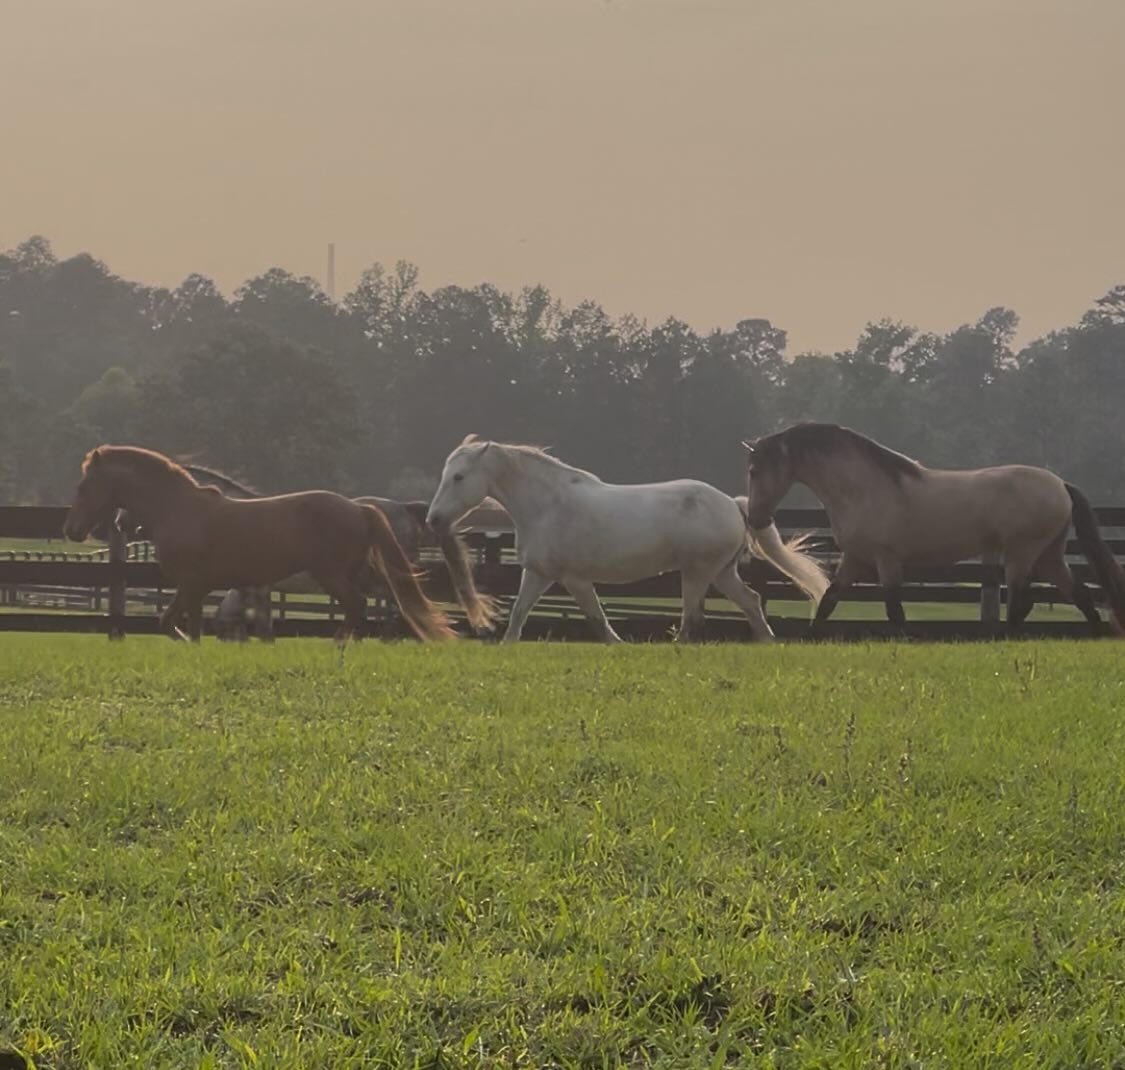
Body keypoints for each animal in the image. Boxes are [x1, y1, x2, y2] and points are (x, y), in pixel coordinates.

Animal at [63, 446, 456, 642]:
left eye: (83, 486)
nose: (73, 530)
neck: (178, 507)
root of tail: (361, 509)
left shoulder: (193, 584)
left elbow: (175, 624)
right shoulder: (200, 589)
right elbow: (189, 626)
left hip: (334, 576)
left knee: (360, 607)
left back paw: (341, 647)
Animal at [425, 435, 828, 643]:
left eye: (459, 477)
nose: (433, 519)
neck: (547, 505)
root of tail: (732, 503)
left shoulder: (574, 579)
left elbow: (596, 617)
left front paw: (618, 646)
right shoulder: (538, 573)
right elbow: (519, 614)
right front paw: (507, 645)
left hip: (698, 572)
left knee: (693, 615)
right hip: (721, 572)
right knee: (751, 601)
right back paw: (767, 641)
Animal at [741, 421, 1125, 636]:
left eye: (755, 471)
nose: (756, 520)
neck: (863, 487)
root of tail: (1060, 485)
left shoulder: (886, 559)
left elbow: (894, 610)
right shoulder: (855, 559)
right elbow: (828, 602)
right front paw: (810, 637)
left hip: (1023, 553)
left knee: (1021, 603)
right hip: (1049, 555)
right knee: (1080, 596)